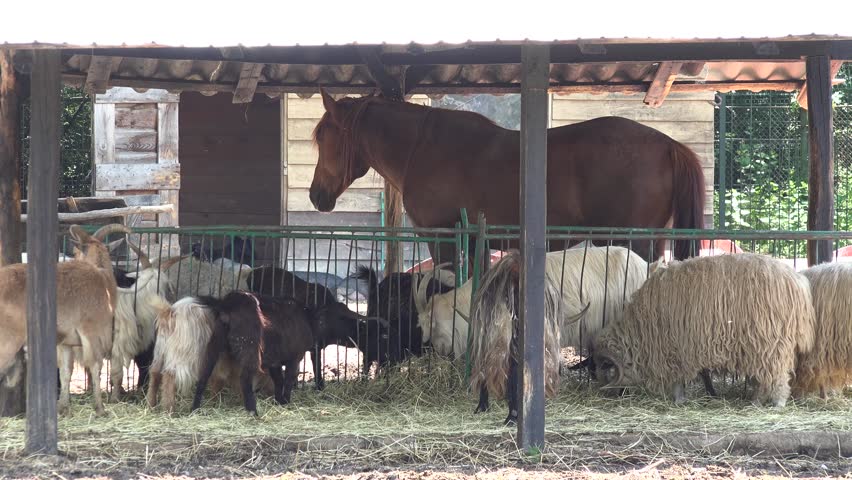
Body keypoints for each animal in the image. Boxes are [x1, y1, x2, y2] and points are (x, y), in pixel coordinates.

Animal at [0, 223, 129, 416]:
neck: (103, 278)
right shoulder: (91, 333)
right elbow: (95, 366)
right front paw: (100, 408)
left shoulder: (65, 343)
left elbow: (66, 371)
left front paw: (63, 407)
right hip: (8, 340)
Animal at [308, 90, 705, 265]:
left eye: (323, 135)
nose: (315, 196)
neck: (420, 147)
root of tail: (669, 144)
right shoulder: (476, 243)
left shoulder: (442, 238)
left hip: (630, 242)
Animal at [593, 253, 816, 407]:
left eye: (606, 368)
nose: (609, 395)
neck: (639, 330)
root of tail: (798, 283)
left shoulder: (676, 349)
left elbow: (679, 380)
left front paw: (678, 399)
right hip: (761, 347)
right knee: (765, 376)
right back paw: (756, 401)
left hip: (772, 343)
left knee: (777, 375)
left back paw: (777, 403)